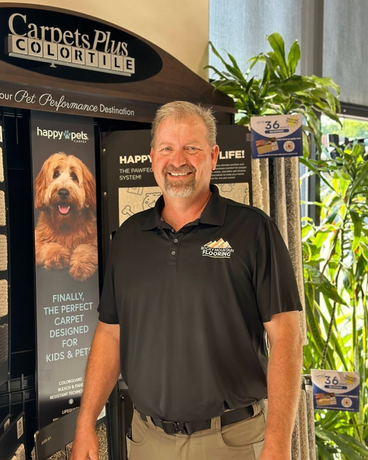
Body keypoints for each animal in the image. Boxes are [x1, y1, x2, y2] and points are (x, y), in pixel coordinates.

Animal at [34, 152, 98, 280]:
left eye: (73, 176)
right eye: (55, 174)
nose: (63, 192)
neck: (65, 223)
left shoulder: (93, 241)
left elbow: (85, 248)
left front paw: (80, 266)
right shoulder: (37, 239)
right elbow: (47, 246)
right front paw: (58, 256)